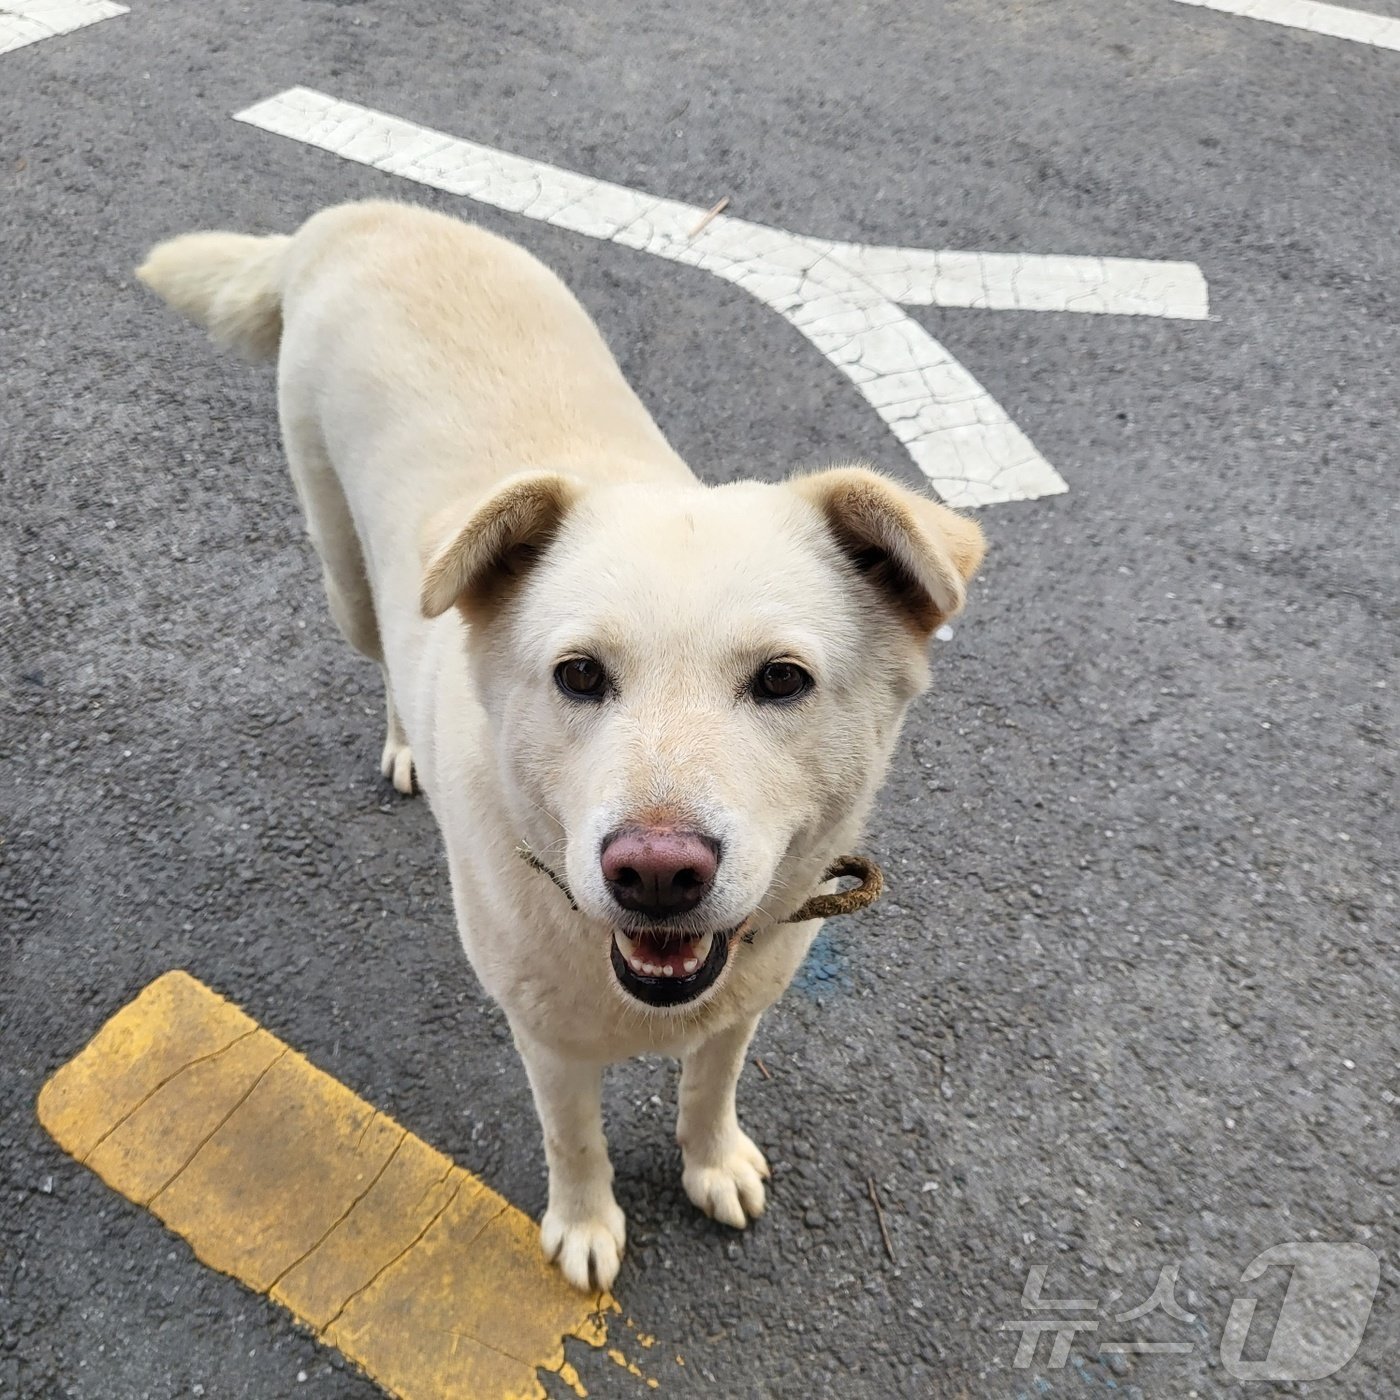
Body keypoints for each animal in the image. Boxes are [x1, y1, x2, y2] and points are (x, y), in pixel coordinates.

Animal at [133, 200, 985, 1288]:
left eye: (781, 680)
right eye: (579, 675)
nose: (656, 872)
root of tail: (364, 215)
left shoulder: (744, 998)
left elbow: (709, 1086)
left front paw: (711, 1160)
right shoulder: (545, 1041)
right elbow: (572, 1140)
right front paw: (584, 1225)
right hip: (350, 582)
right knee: (383, 653)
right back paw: (404, 745)